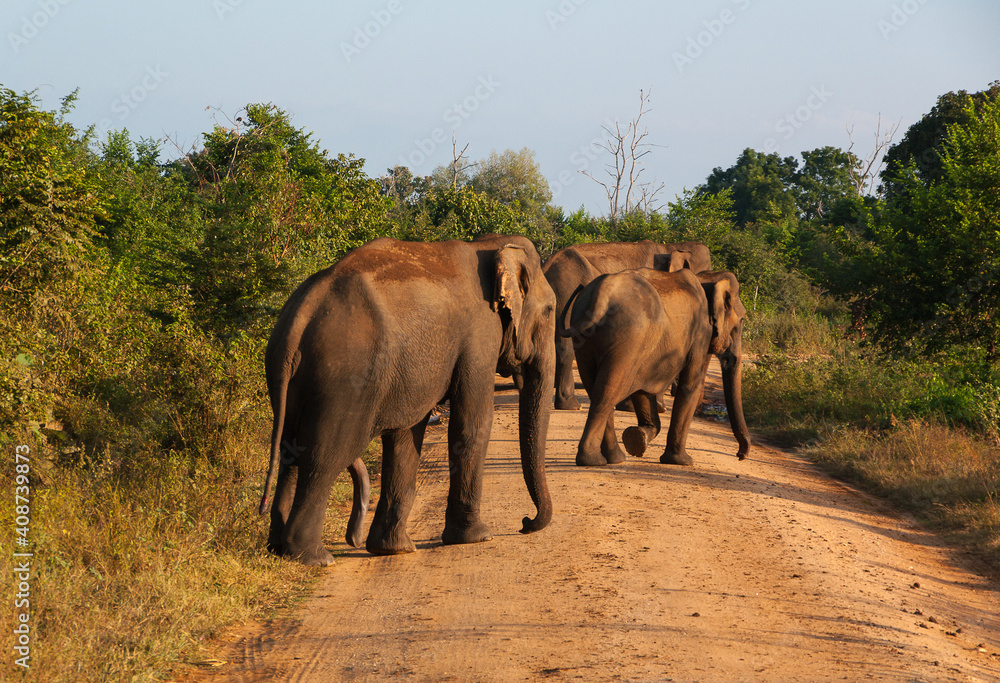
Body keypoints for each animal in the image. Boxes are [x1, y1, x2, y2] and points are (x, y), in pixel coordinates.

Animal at [259, 235, 556, 566]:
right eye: (549, 311)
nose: (524, 523)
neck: (492, 244)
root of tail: (302, 311)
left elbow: (406, 434)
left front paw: (395, 549)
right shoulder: (480, 336)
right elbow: (472, 421)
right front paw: (477, 537)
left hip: (291, 373)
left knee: (290, 451)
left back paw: (278, 548)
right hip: (344, 377)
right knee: (325, 454)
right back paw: (314, 558)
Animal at [542, 240, 711, 410]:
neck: (671, 246)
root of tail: (546, 266)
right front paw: (648, 406)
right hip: (567, 290)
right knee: (567, 347)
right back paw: (572, 405)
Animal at [557, 267, 750, 467]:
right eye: (742, 320)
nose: (740, 455)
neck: (706, 278)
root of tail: (603, 291)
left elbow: (643, 391)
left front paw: (638, 438)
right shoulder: (700, 333)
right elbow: (690, 386)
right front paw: (682, 461)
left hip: (586, 337)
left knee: (596, 387)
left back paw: (615, 458)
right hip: (628, 336)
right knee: (607, 392)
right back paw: (593, 460)